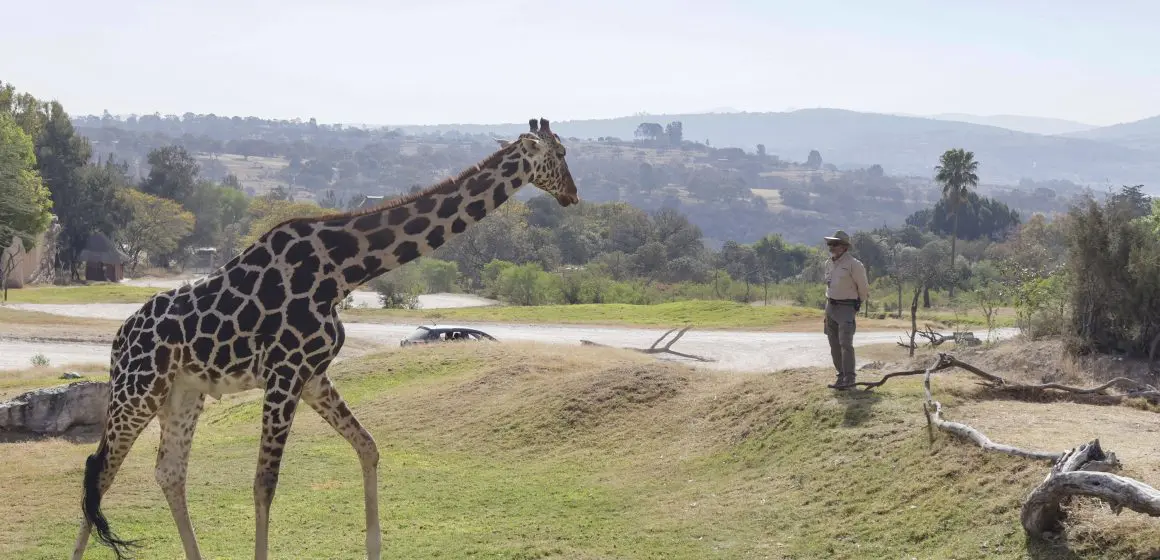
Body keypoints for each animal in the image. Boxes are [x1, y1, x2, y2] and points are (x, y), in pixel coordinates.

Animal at [70, 115, 577, 558]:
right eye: (561, 154)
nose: (572, 194)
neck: (343, 270)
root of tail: (118, 340)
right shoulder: (284, 374)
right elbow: (264, 484)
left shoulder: (312, 375)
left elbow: (368, 447)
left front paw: (375, 548)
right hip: (138, 391)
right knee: (99, 471)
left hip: (182, 392)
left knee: (168, 472)